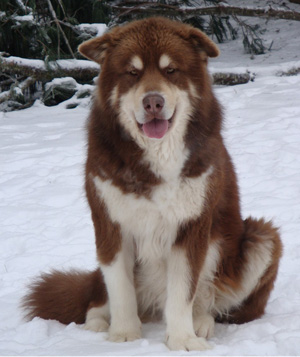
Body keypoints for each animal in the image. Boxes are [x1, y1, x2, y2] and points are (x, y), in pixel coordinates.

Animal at [22, 17, 282, 350]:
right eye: (132, 73)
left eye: (171, 70)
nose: (153, 102)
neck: (155, 159)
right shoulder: (111, 225)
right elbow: (120, 289)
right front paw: (123, 334)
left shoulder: (191, 227)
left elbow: (183, 292)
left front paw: (183, 339)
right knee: (96, 299)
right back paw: (97, 323)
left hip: (260, 239)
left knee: (210, 299)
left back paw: (202, 322)